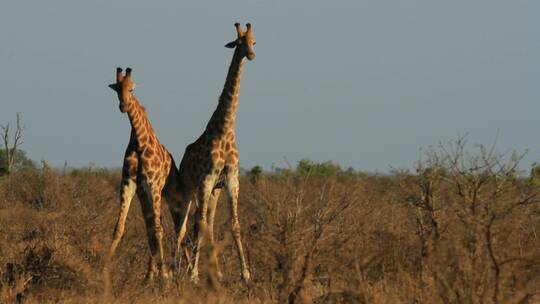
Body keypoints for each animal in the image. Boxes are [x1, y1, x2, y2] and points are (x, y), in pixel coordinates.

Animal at [105, 67, 184, 284]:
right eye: (117, 89)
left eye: (131, 89)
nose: (123, 106)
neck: (139, 142)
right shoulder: (130, 184)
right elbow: (120, 227)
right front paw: (104, 269)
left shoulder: (153, 185)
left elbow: (158, 230)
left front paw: (164, 275)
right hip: (146, 196)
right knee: (153, 227)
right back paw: (150, 275)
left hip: (170, 194)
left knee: (174, 227)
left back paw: (176, 271)